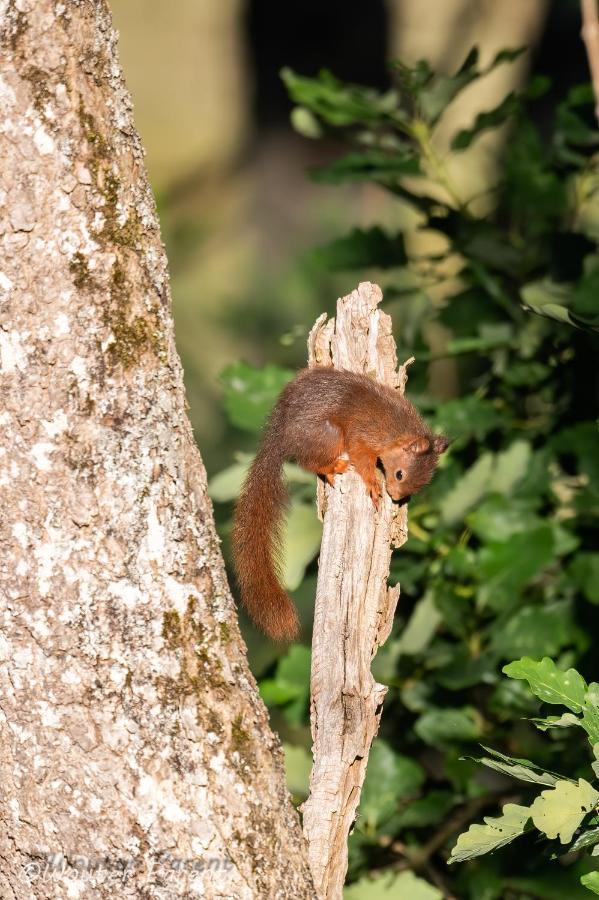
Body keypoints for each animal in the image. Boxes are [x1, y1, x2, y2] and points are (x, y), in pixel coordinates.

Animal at [232, 366, 448, 640]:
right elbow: (361, 457)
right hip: (328, 435)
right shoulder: (364, 435)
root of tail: (278, 436)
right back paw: (332, 467)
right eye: (400, 474)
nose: (397, 497)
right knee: (308, 462)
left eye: (422, 485)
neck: (397, 428)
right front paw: (373, 485)